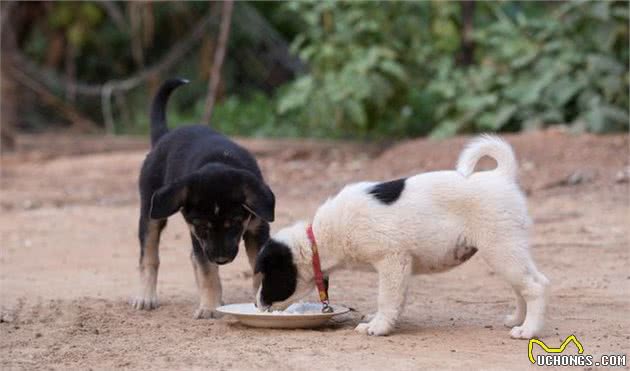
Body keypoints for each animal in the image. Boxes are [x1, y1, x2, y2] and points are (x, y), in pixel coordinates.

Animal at [132, 78, 276, 320]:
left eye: (235, 223)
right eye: (202, 226)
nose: (221, 260)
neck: (218, 162)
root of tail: (164, 136)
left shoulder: (257, 229)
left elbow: (259, 268)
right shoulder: (198, 236)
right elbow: (207, 272)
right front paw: (208, 307)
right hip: (150, 214)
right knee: (149, 257)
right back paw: (145, 296)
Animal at [256, 135, 548, 338]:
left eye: (269, 276)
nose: (258, 304)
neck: (319, 238)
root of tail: (502, 176)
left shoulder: (392, 260)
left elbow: (387, 298)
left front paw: (377, 327)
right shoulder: (397, 266)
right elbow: (395, 300)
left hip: (501, 249)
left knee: (534, 287)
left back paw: (527, 331)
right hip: (511, 249)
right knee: (531, 283)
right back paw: (517, 320)